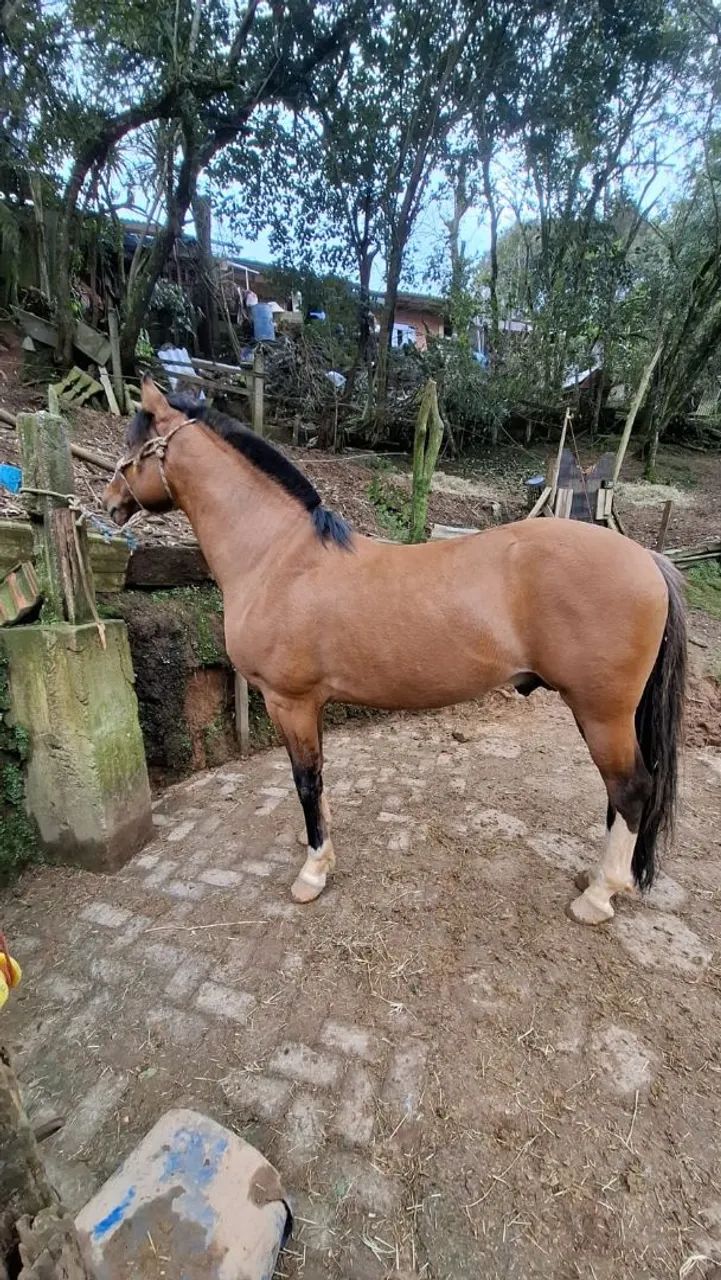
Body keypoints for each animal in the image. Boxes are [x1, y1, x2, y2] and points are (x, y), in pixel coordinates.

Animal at [103, 376, 687, 925]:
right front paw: (320, 847)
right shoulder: (310, 705)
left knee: (631, 790)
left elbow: (305, 780)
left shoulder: (288, 701)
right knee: (619, 794)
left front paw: (313, 872)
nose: (109, 503)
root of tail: (649, 560)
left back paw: (599, 895)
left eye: (133, 447)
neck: (280, 559)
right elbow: (318, 777)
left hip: (601, 712)